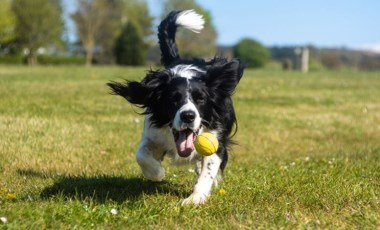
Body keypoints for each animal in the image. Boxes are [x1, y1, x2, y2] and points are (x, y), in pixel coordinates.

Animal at [107, 9, 243, 205]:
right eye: (173, 99)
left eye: (201, 99)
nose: (188, 116)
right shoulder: (153, 133)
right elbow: (141, 155)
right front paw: (156, 173)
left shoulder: (217, 138)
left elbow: (209, 170)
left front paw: (195, 198)